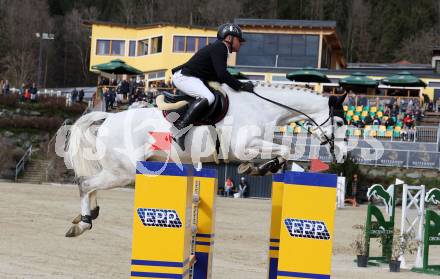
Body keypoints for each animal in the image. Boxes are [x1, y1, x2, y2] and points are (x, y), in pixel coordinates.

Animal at [59, 82, 348, 237]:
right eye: (341, 122)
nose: (344, 155)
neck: (262, 107)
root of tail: (107, 117)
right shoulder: (244, 146)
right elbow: (284, 150)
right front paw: (261, 167)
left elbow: (283, 150)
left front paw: (257, 168)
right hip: (124, 172)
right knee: (86, 184)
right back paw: (83, 223)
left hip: (118, 171)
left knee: (90, 185)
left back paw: (87, 215)